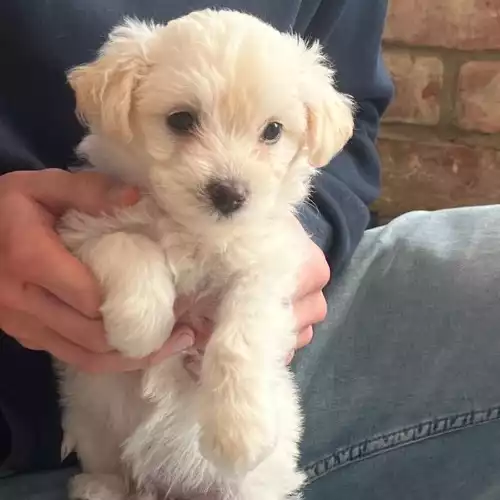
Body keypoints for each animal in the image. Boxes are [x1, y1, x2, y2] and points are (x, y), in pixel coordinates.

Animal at [57, 8, 356, 500]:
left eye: (273, 131)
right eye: (181, 120)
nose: (229, 193)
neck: (192, 231)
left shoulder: (267, 267)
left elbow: (242, 335)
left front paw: (239, 432)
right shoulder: (82, 224)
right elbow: (128, 241)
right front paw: (140, 327)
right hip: (93, 422)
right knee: (107, 466)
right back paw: (98, 487)